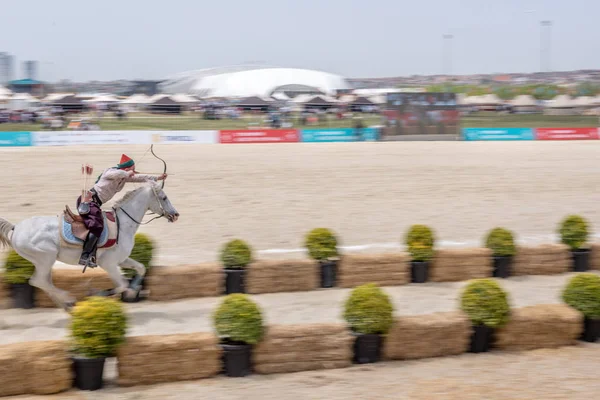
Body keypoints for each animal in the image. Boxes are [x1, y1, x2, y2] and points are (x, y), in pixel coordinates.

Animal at [0, 181, 179, 312]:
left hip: (44, 262)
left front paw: (134, 290)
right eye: (164, 197)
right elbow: (121, 284)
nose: (175, 215)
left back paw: (66, 305)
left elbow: (140, 269)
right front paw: (99, 294)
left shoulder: (121, 260)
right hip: (45, 259)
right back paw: (69, 299)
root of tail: (16, 228)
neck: (123, 224)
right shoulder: (109, 264)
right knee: (38, 281)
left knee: (45, 282)